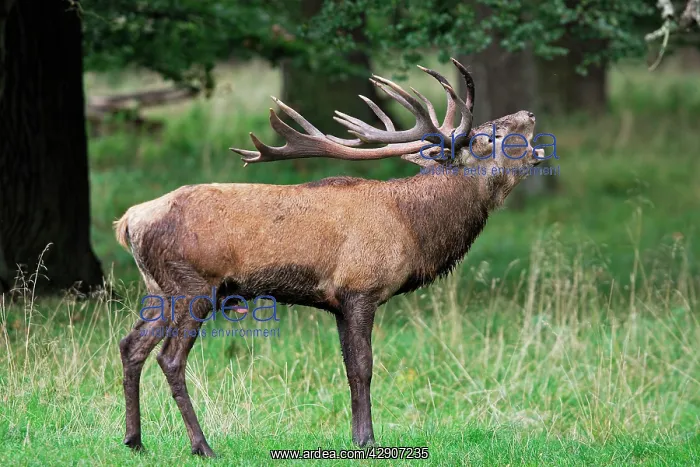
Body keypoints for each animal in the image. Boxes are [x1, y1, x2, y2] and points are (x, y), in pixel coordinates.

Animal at [114, 58, 545, 457]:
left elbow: (349, 369)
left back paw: (134, 441)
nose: (529, 113)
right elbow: (364, 367)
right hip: (194, 286)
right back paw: (202, 445)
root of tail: (129, 220)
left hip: (159, 290)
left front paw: (356, 436)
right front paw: (369, 441)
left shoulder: (337, 302)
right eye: (492, 135)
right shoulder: (361, 288)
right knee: (170, 358)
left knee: (131, 345)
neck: (412, 226)